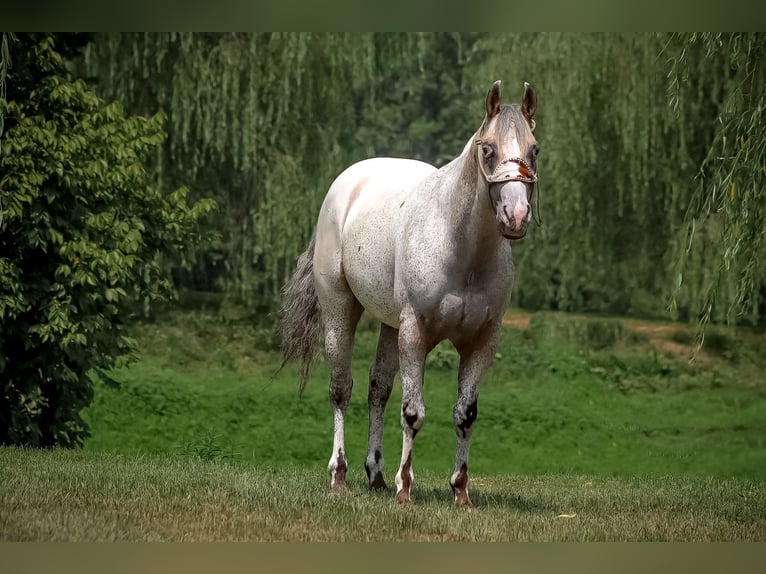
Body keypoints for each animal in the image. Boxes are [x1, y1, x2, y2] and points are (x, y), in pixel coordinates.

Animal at [280, 80, 539, 506]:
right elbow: (413, 412)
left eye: (534, 149)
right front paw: (405, 489)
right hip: (340, 310)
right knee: (341, 388)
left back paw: (376, 475)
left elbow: (465, 415)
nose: (515, 218)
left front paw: (461, 492)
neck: (461, 250)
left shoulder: (481, 341)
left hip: (390, 325)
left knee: (378, 387)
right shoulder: (415, 332)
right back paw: (340, 476)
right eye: (488, 149)